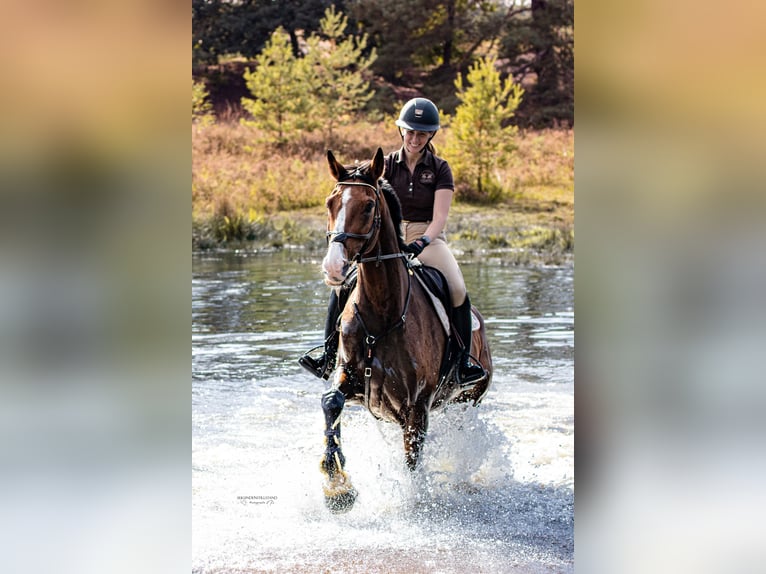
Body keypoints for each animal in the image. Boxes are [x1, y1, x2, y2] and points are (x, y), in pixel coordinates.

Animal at [320, 147, 496, 512]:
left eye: (368, 206)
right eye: (331, 202)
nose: (333, 267)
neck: (382, 317)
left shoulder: (417, 406)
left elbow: (413, 458)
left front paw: (412, 502)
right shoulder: (350, 377)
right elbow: (331, 403)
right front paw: (338, 488)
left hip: (467, 399)